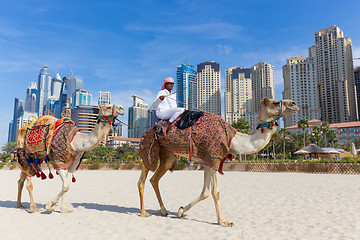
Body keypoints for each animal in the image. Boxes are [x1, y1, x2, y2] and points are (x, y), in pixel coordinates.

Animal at [137, 98, 298, 227]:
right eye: (275, 102)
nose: (294, 104)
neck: (233, 139)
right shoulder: (213, 158)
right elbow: (215, 192)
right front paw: (223, 222)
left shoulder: (208, 160)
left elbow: (205, 192)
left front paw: (181, 211)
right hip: (149, 148)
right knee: (143, 178)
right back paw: (144, 212)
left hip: (167, 156)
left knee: (154, 178)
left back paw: (164, 211)